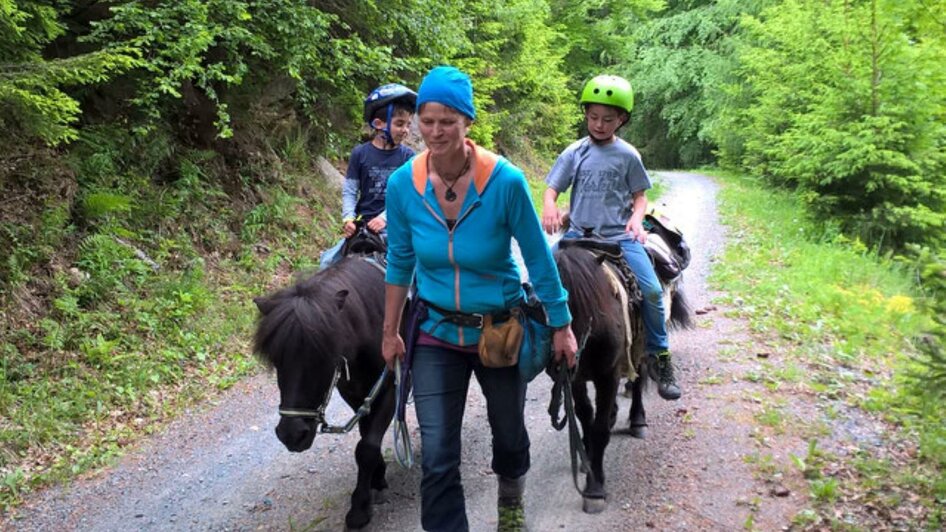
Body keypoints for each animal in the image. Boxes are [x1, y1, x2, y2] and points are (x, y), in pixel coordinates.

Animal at [251, 251, 390, 528]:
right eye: (276, 359)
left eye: (323, 356)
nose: (291, 435)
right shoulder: (356, 394)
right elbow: (366, 435)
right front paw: (377, 478)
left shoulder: (391, 387)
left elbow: (367, 447)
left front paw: (359, 509)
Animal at [548, 243, 688, 512]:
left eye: (574, 305)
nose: (556, 362)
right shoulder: (576, 379)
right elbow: (585, 416)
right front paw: (586, 454)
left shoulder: (608, 376)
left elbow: (600, 429)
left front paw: (594, 489)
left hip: (640, 347)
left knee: (637, 382)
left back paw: (638, 421)